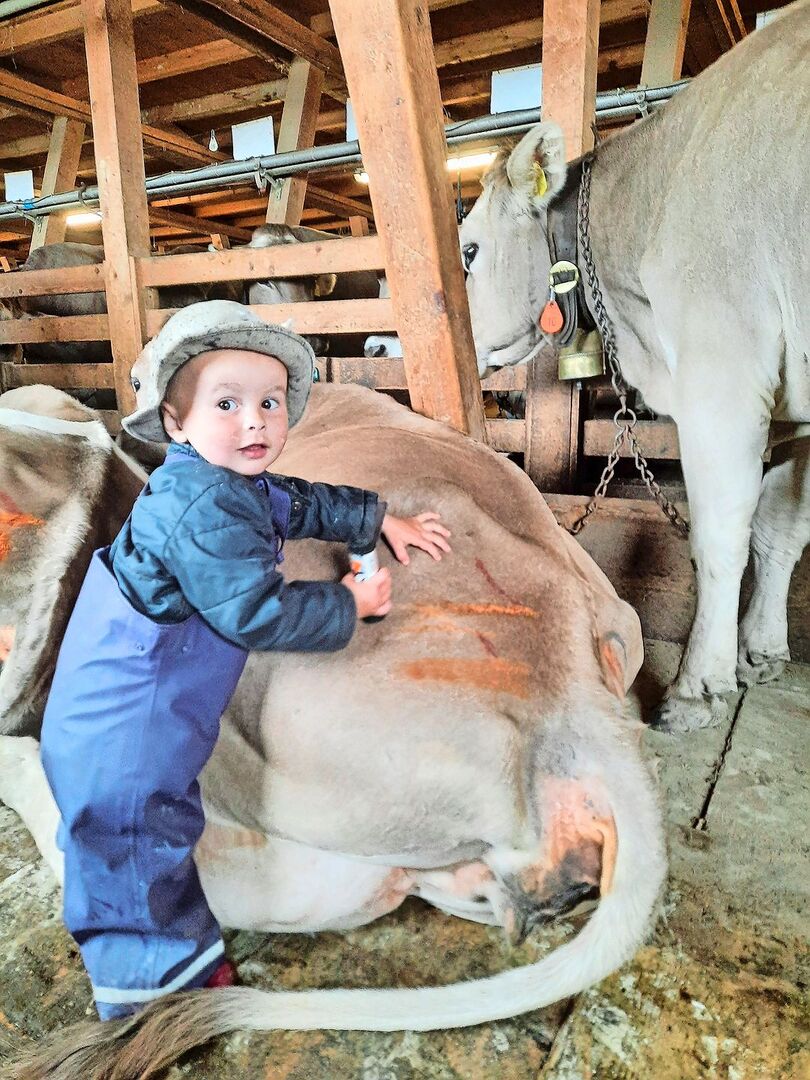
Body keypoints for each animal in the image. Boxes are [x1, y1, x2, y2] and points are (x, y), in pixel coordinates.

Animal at [459, 0, 810, 734]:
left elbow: (721, 533)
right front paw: (760, 650)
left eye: (471, 250)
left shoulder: (724, 373)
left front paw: (699, 685)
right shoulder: (797, 413)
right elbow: (781, 526)